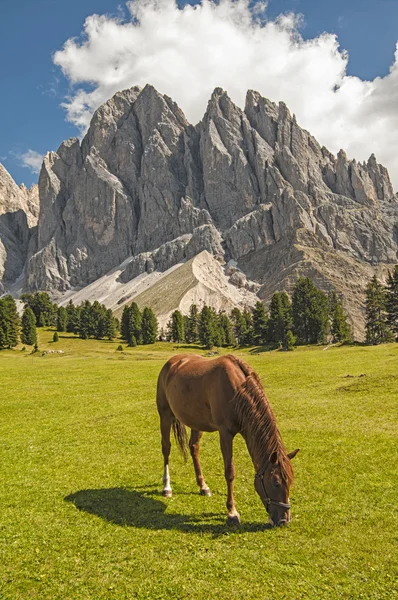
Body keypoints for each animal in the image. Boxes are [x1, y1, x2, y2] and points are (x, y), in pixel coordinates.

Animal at [155, 354, 298, 528]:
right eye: (275, 482)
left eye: (289, 482)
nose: (284, 520)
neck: (238, 392)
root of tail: (172, 362)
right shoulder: (225, 433)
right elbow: (230, 472)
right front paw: (232, 512)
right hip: (165, 415)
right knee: (166, 448)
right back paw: (167, 487)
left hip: (196, 422)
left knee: (193, 447)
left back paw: (203, 486)